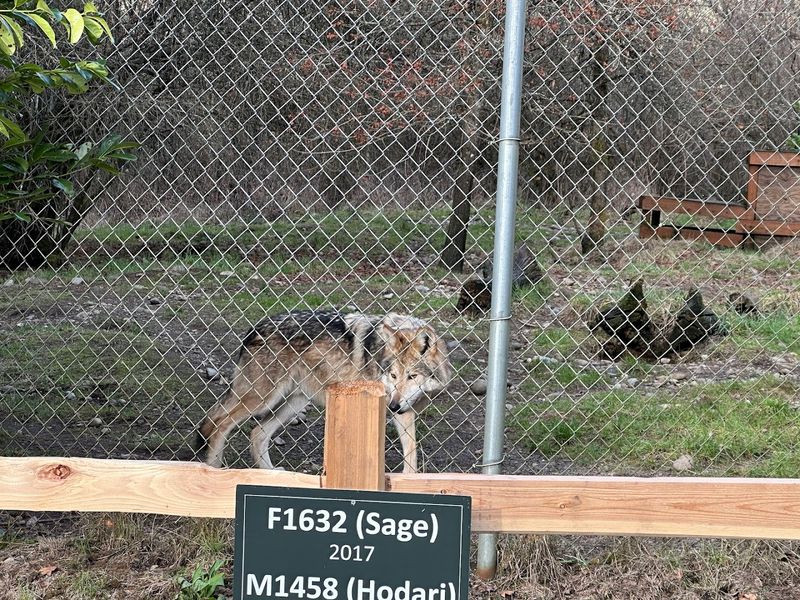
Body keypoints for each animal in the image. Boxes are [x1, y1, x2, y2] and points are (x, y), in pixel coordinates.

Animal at [196, 309, 452, 474]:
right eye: (394, 375)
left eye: (412, 376)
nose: (394, 406)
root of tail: (253, 328)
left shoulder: (405, 412)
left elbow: (411, 453)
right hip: (262, 399)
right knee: (217, 422)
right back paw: (213, 470)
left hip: (293, 402)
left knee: (257, 432)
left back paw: (271, 474)